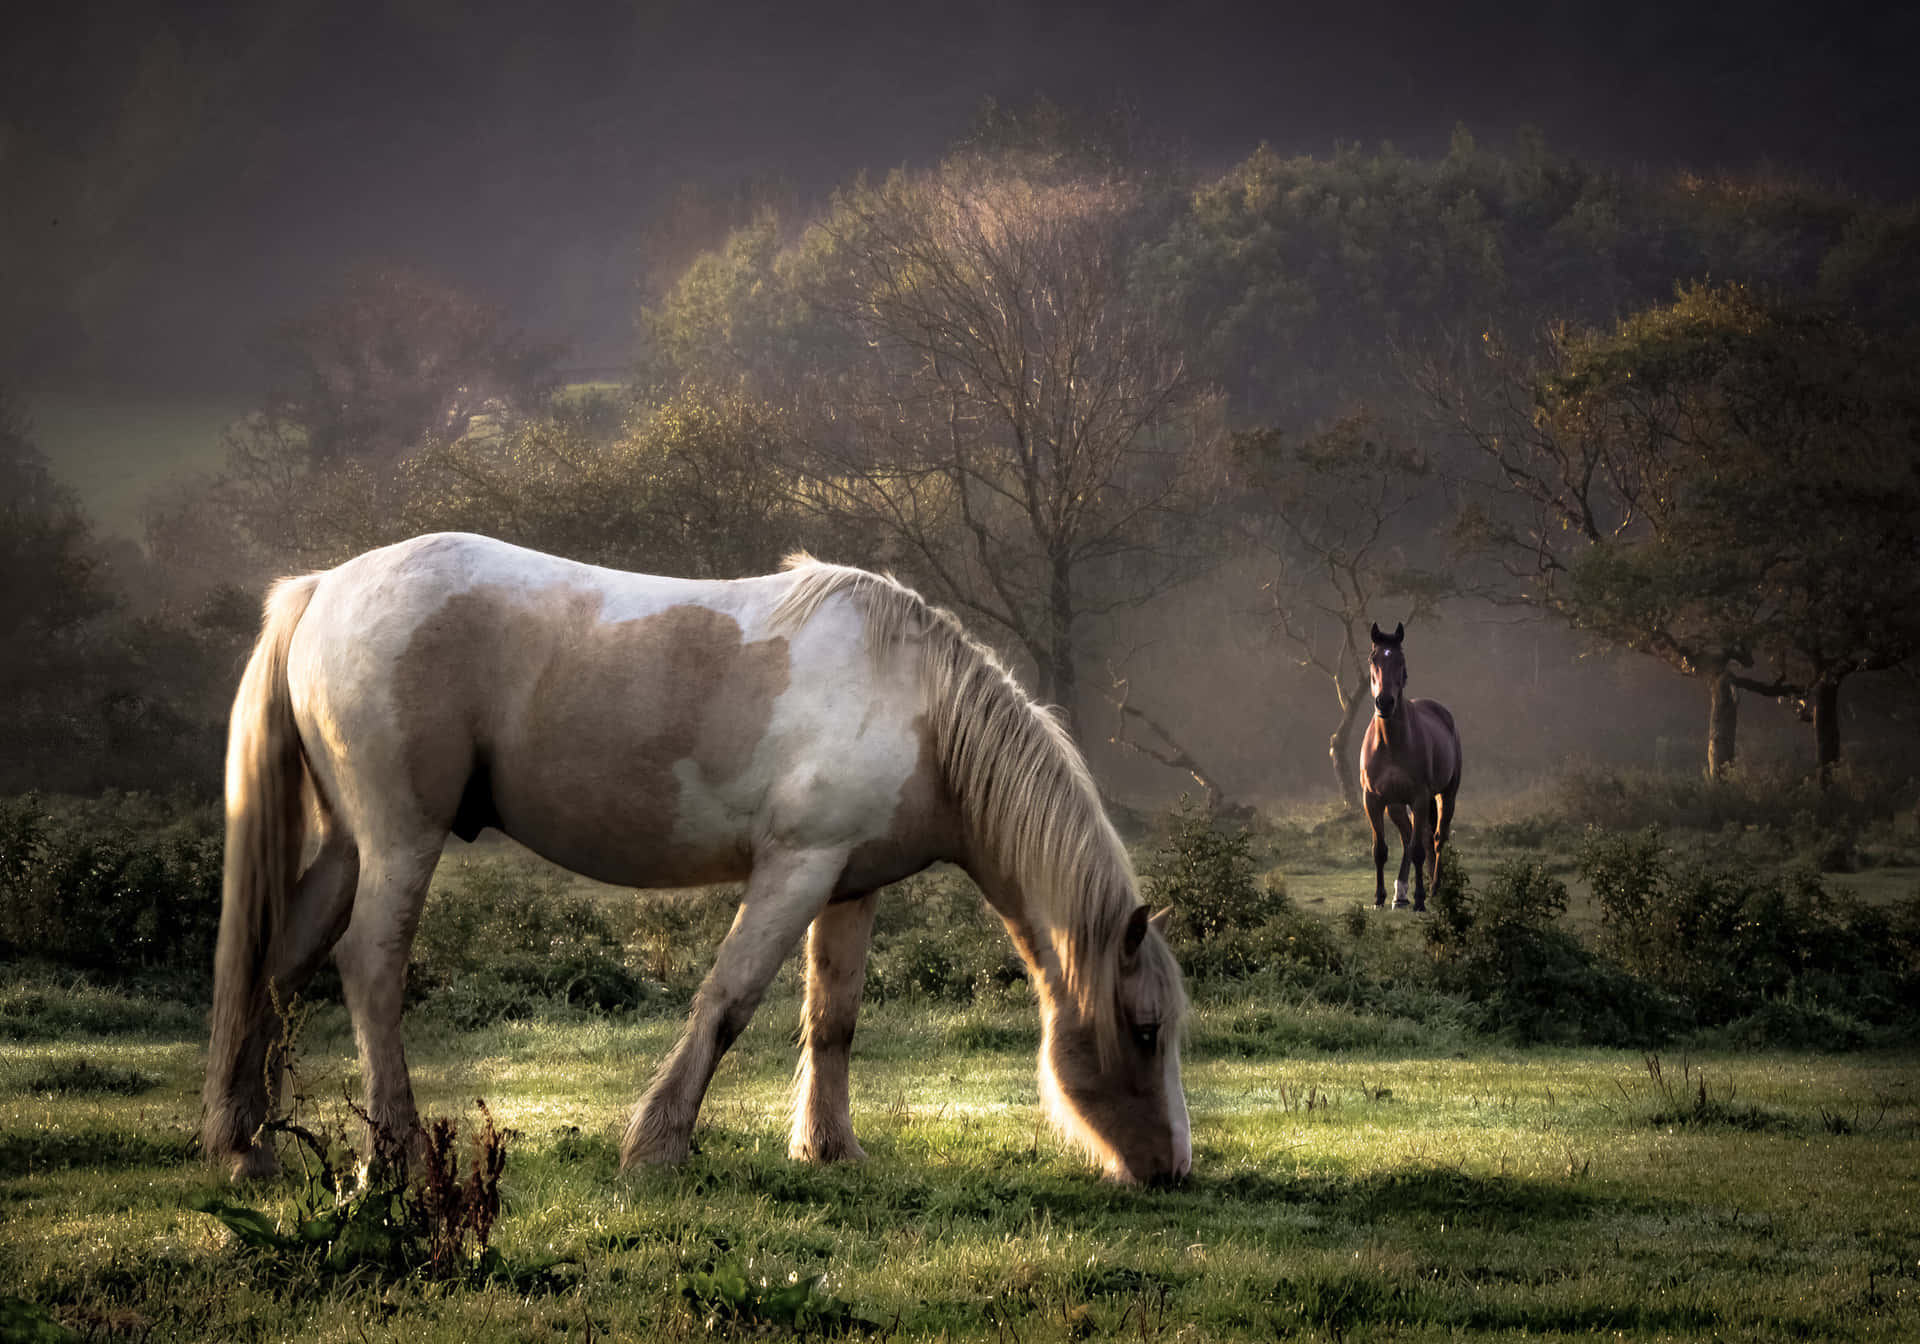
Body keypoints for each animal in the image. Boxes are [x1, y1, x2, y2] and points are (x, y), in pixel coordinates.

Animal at [202, 533, 1190, 1185]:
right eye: (1144, 1030)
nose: (1173, 1169)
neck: (919, 708)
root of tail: (323, 588)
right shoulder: (795, 870)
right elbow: (728, 1003)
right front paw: (658, 1147)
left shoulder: (849, 886)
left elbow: (833, 1020)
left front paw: (830, 1150)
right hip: (402, 837)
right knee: (369, 969)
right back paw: (395, 1156)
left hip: (349, 845)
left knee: (281, 963)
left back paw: (245, 1143)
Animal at [1359, 622, 1461, 912]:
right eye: (1373, 659)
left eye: (1401, 661)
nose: (1384, 702)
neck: (1391, 743)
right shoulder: (1373, 800)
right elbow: (1380, 850)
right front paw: (1379, 898)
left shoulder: (1419, 797)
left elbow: (1418, 850)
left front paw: (1420, 901)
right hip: (1395, 805)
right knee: (1408, 838)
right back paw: (1400, 894)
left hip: (1445, 796)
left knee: (1435, 839)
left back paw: (1434, 889)